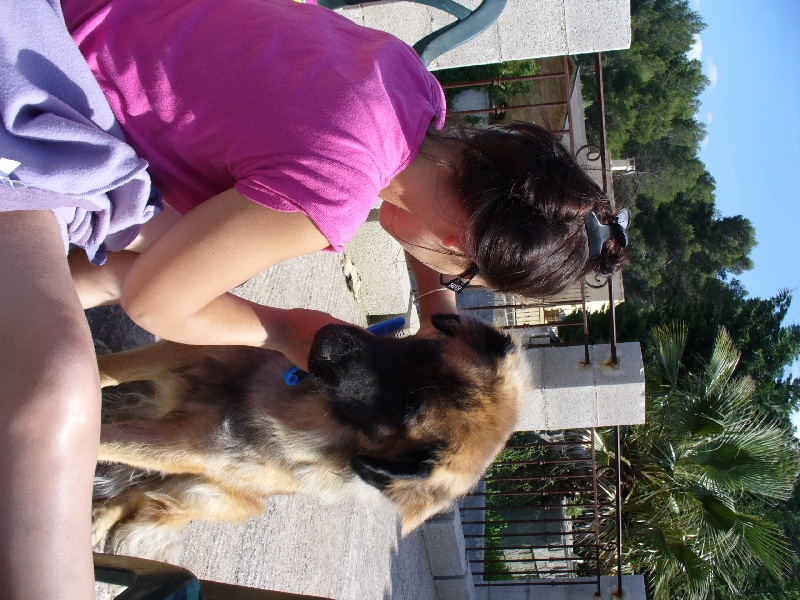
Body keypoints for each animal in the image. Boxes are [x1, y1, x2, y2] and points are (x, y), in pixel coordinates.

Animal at [92, 314, 529, 558]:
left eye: (406, 409)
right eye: (417, 350)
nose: (332, 342)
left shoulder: (185, 444)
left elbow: (103, 439)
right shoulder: (190, 353)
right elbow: (104, 372)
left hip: (208, 493)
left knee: (142, 493)